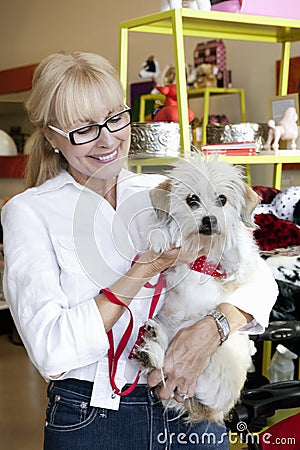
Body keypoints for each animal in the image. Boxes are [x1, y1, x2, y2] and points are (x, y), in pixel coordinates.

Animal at [135, 155, 258, 422]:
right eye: (192, 200)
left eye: (222, 199)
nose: (210, 220)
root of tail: (214, 412)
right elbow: (162, 230)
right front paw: (161, 236)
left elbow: (238, 247)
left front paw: (235, 247)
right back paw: (152, 347)